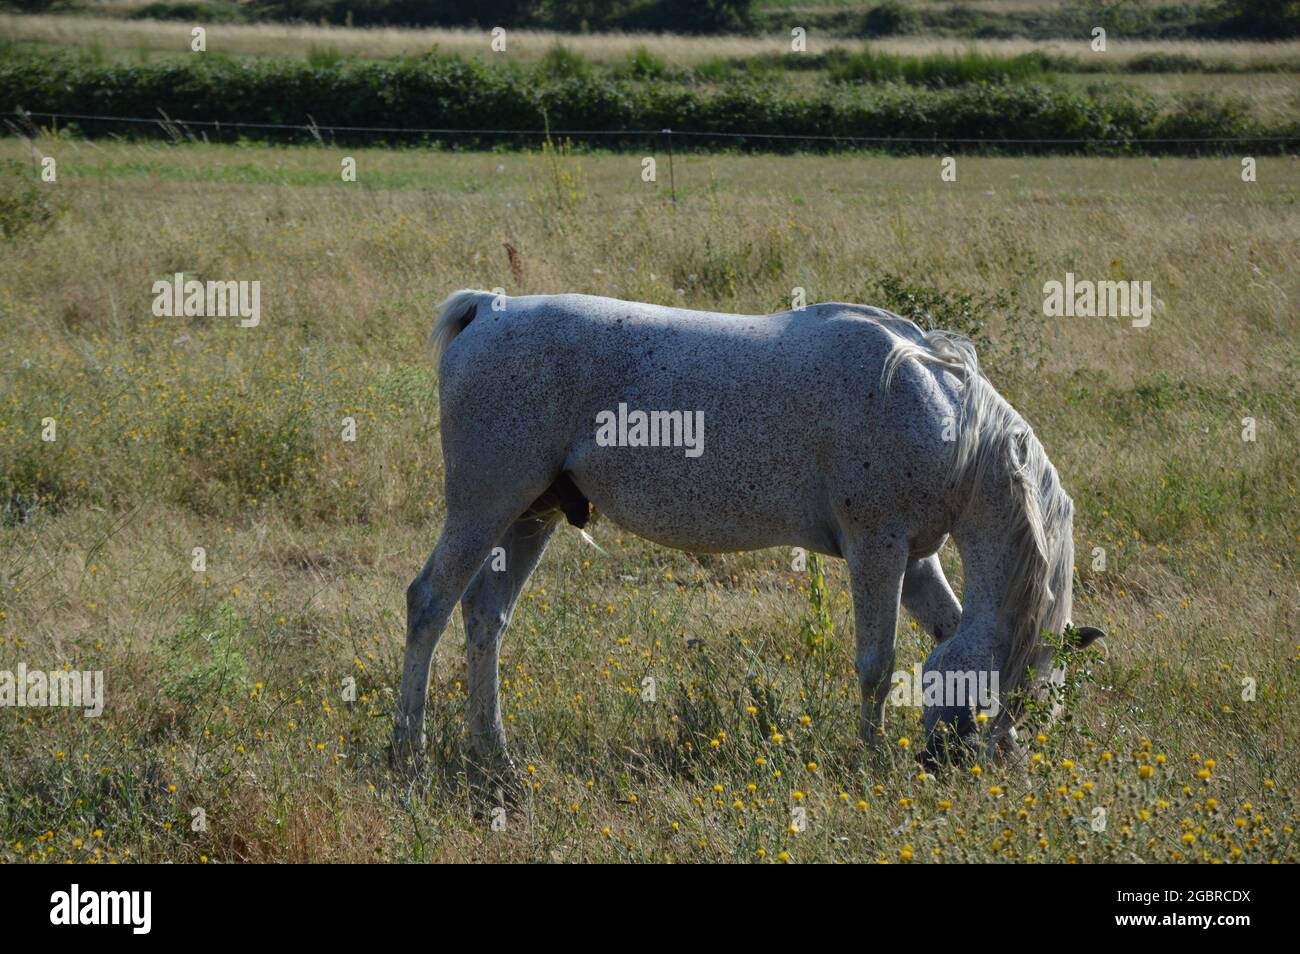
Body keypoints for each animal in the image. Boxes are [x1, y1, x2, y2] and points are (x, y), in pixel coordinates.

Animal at [393, 290, 1104, 781]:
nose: (949, 765)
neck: (941, 415)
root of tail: (487, 310)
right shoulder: (877, 547)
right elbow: (876, 665)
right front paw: (870, 759)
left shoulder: (916, 560)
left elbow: (944, 626)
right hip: (483, 508)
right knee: (428, 603)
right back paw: (410, 752)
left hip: (529, 517)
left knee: (485, 617)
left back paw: (494, 753)